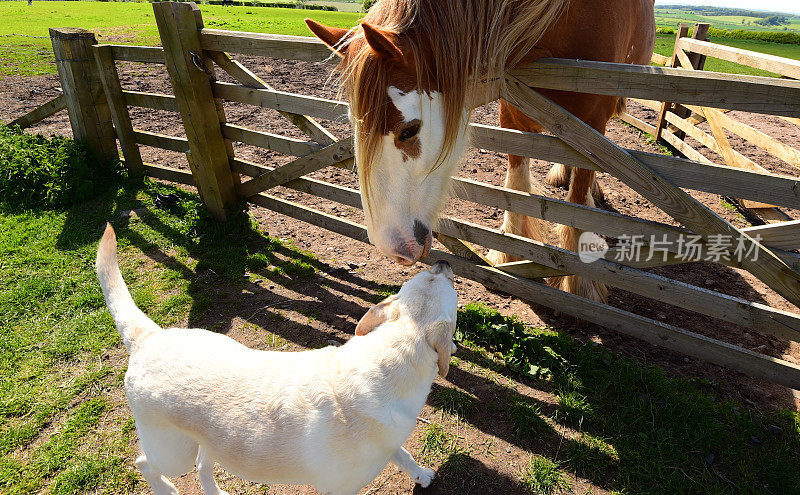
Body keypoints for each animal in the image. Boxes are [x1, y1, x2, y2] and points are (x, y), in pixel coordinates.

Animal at [95, 226, 456, 495]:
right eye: (443, 284)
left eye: (424, 276)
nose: (442, 262)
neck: (387, 359)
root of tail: (149, 336)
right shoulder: (338, 488)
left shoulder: (387, 443)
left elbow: (403, 454)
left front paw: (422, 474)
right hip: (173, 452)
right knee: (145, 464)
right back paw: (166, 489)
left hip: (208, 439)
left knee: (202, 464)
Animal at [304, 0, 652, 304]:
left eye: (409, 130)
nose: (393, 247)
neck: (567, 17)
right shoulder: (512, 109)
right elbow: (517, 186)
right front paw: (509, 251)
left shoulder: (592, 121)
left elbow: (578, 198)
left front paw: (580, 282)